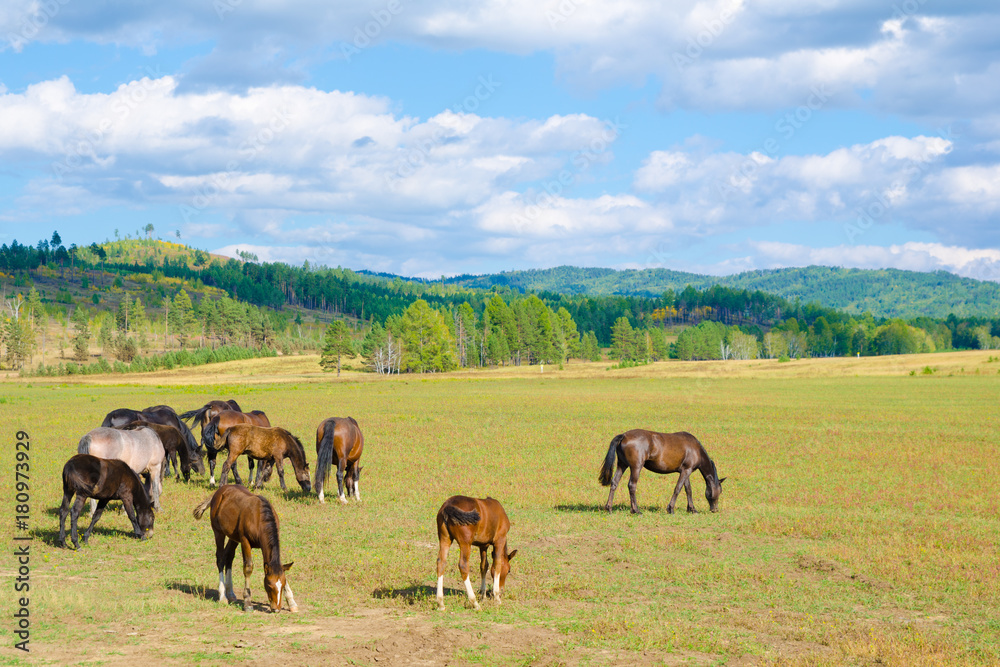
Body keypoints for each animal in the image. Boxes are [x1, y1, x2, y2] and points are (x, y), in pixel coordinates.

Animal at [189, 482, 294, 612]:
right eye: (269, 585)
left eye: (283, 585)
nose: (276, 609)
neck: (259, 517)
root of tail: (218, 492)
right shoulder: (245, 541)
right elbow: (248, 568)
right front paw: (248, 602)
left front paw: (292, 602)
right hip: (218, 532)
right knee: (220, 558)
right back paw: (223, 596)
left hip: (233, 537)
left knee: (228, 556)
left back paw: (231, 594)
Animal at [596, 428, 724, 516]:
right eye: (720, 491)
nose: (715, 509)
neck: (695, 449)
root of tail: (624, 436)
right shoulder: (686, 471)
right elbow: (678, 489)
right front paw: (670, 509)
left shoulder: (685, 471)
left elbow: (688, 490)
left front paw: (692, 509)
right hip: (636, 467)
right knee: (632, 486)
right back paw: (636, 510)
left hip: (622, 465)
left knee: (614, 483)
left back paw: (609, 508)